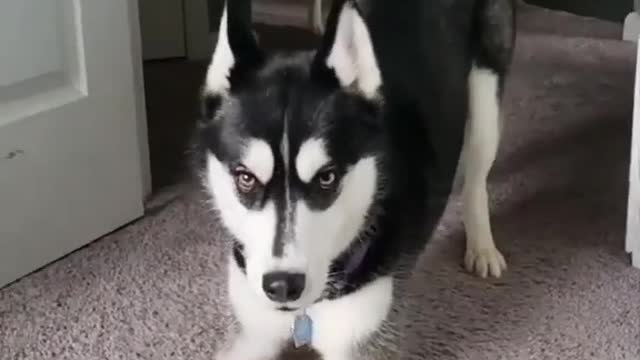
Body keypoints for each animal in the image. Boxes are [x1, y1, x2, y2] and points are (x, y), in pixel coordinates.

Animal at [195, 0, 516, 358]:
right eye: (246, 178)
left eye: (327, 177)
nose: (283, 286)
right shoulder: (252, 334)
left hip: (485, 92)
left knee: (476, 175)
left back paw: (482, 245)